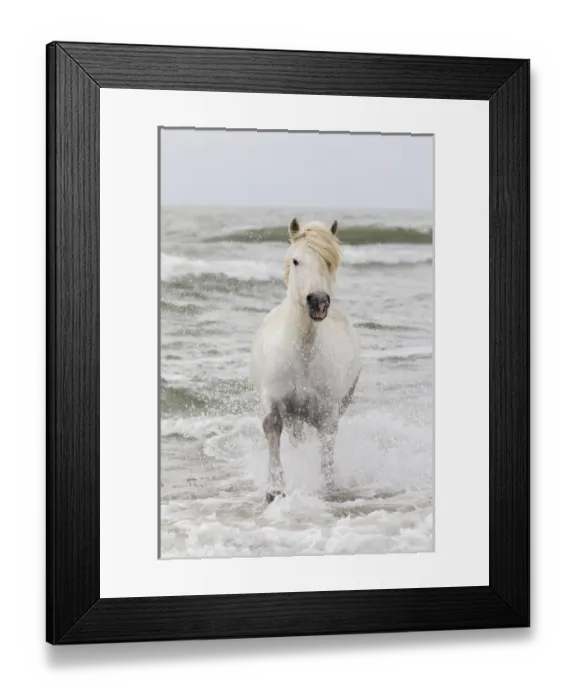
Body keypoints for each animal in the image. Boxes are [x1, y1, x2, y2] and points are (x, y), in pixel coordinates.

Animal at [250, 217, 361, 503]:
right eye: (296, 261)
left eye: (329, 262)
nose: (319, 302)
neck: (303, 352)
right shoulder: (274, 401)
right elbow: (272, 428)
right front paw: (275, 489)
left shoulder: (328, 412)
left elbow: (327, 446)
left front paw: (327, 488)